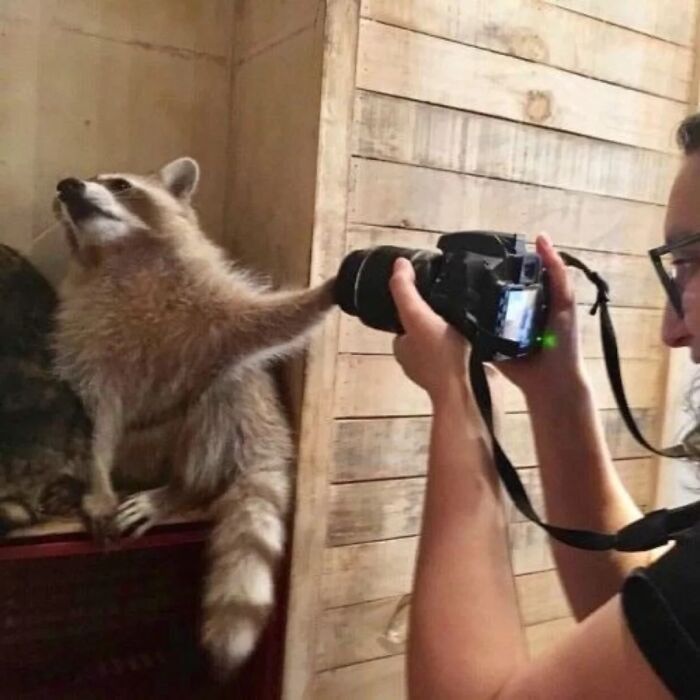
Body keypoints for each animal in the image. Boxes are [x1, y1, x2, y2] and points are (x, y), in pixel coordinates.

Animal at [53, 157, 336, 674]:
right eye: (61, 195)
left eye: (119, 184)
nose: (66, 187)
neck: (120, 256)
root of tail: (274, 441)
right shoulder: (90, 341)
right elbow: (101, 416)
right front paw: (98, 484)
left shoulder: (208, 306)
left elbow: (260, 326)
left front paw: (323, 293)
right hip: (141, 450)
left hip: (236, 422)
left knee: (225, 387)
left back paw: (185, 489)